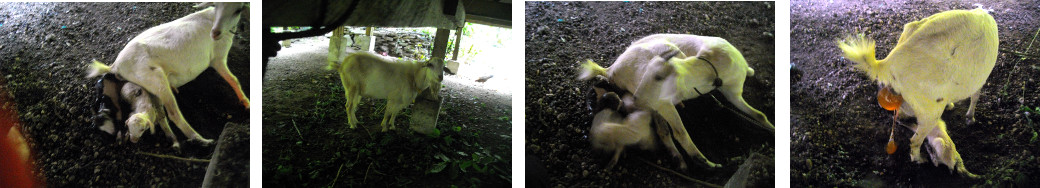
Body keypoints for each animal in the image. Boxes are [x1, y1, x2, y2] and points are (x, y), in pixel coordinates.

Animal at [85, 2, 247, 144]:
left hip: (151, 86)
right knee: (173, 114)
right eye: (218, 6)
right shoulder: (218, 57)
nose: (215, 33)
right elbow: (234, 79)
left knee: (159, 112)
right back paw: (203, 140)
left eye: (238, 10)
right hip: (156, 80)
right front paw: (246, 103)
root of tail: (115, 65)